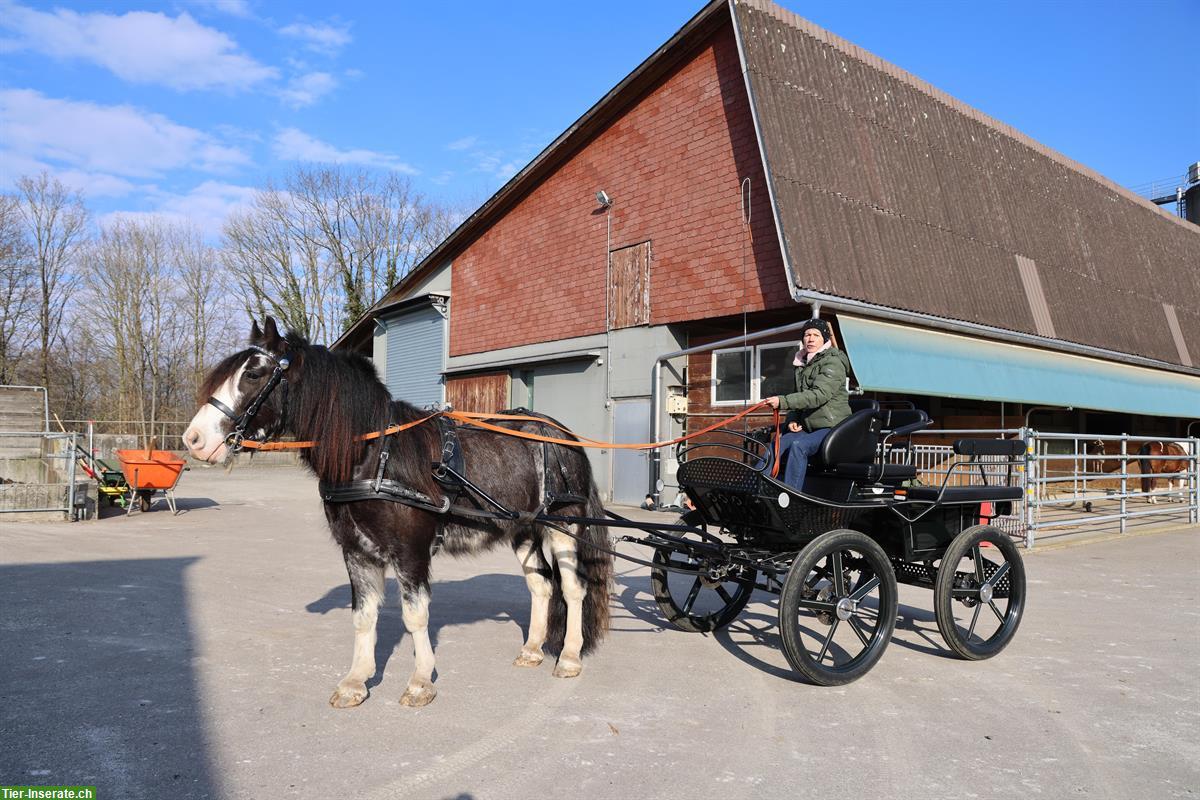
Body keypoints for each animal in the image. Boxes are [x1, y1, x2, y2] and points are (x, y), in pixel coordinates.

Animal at [182, 319, 614, 705]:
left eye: (254, 374)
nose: (194, 439)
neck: (374, 457)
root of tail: (562, 433)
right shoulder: (357, 551)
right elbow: (363, 615)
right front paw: (355, 682)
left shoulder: (411, 551)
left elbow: (414, 616)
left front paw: (420, 682)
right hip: (523, 528)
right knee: (540, 585)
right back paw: (532, 650)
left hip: (564, 523)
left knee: (573, 588)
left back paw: (569, 657)